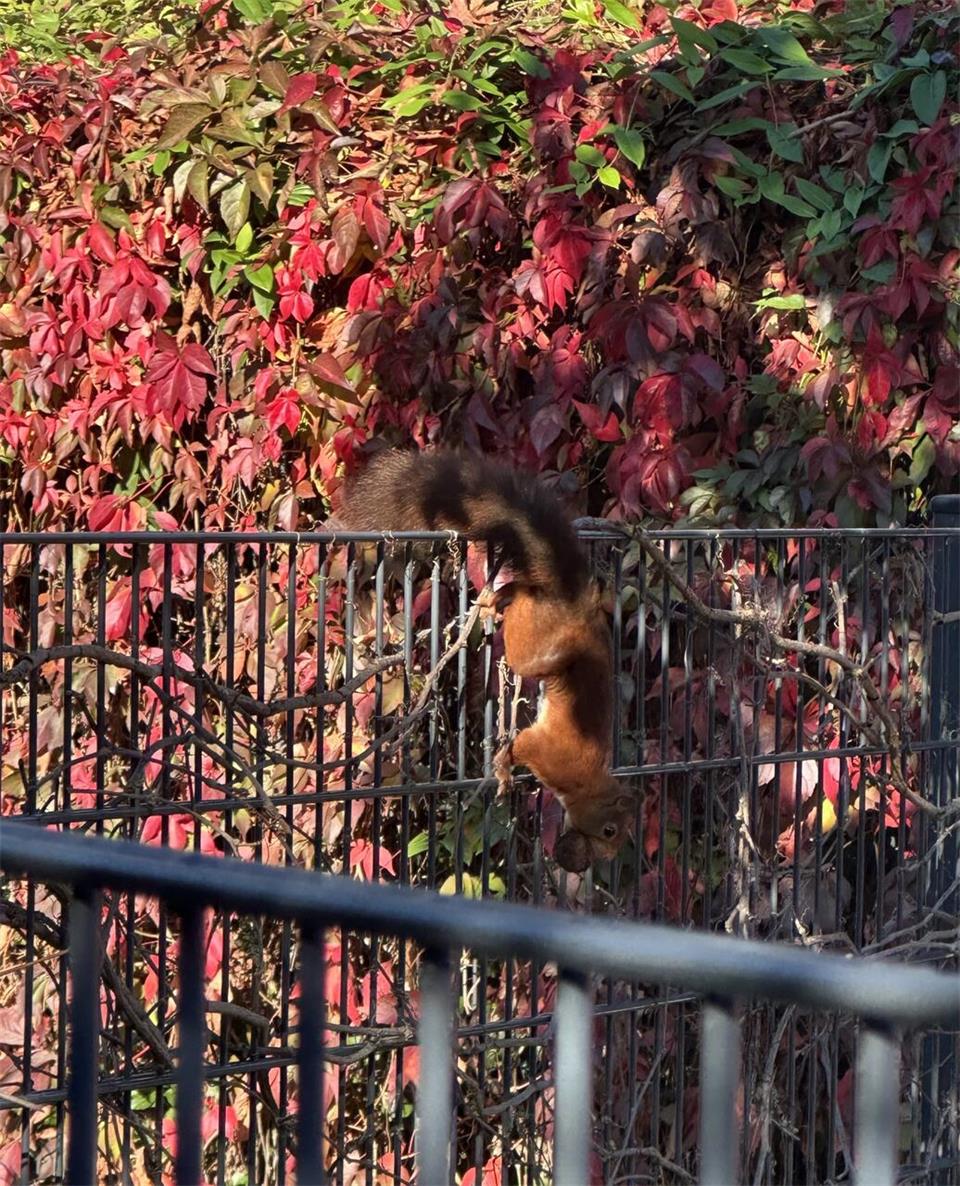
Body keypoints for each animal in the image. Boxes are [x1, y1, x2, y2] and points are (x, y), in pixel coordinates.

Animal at [335, 448, 634, 872]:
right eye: (610, 830)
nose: (600, 857)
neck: (590, 782)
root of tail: (572, 599)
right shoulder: (551, 754)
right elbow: (520, 745)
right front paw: (504, 769)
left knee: (522, 589)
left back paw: (497, 599)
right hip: (532, 644)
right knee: (527, 631)